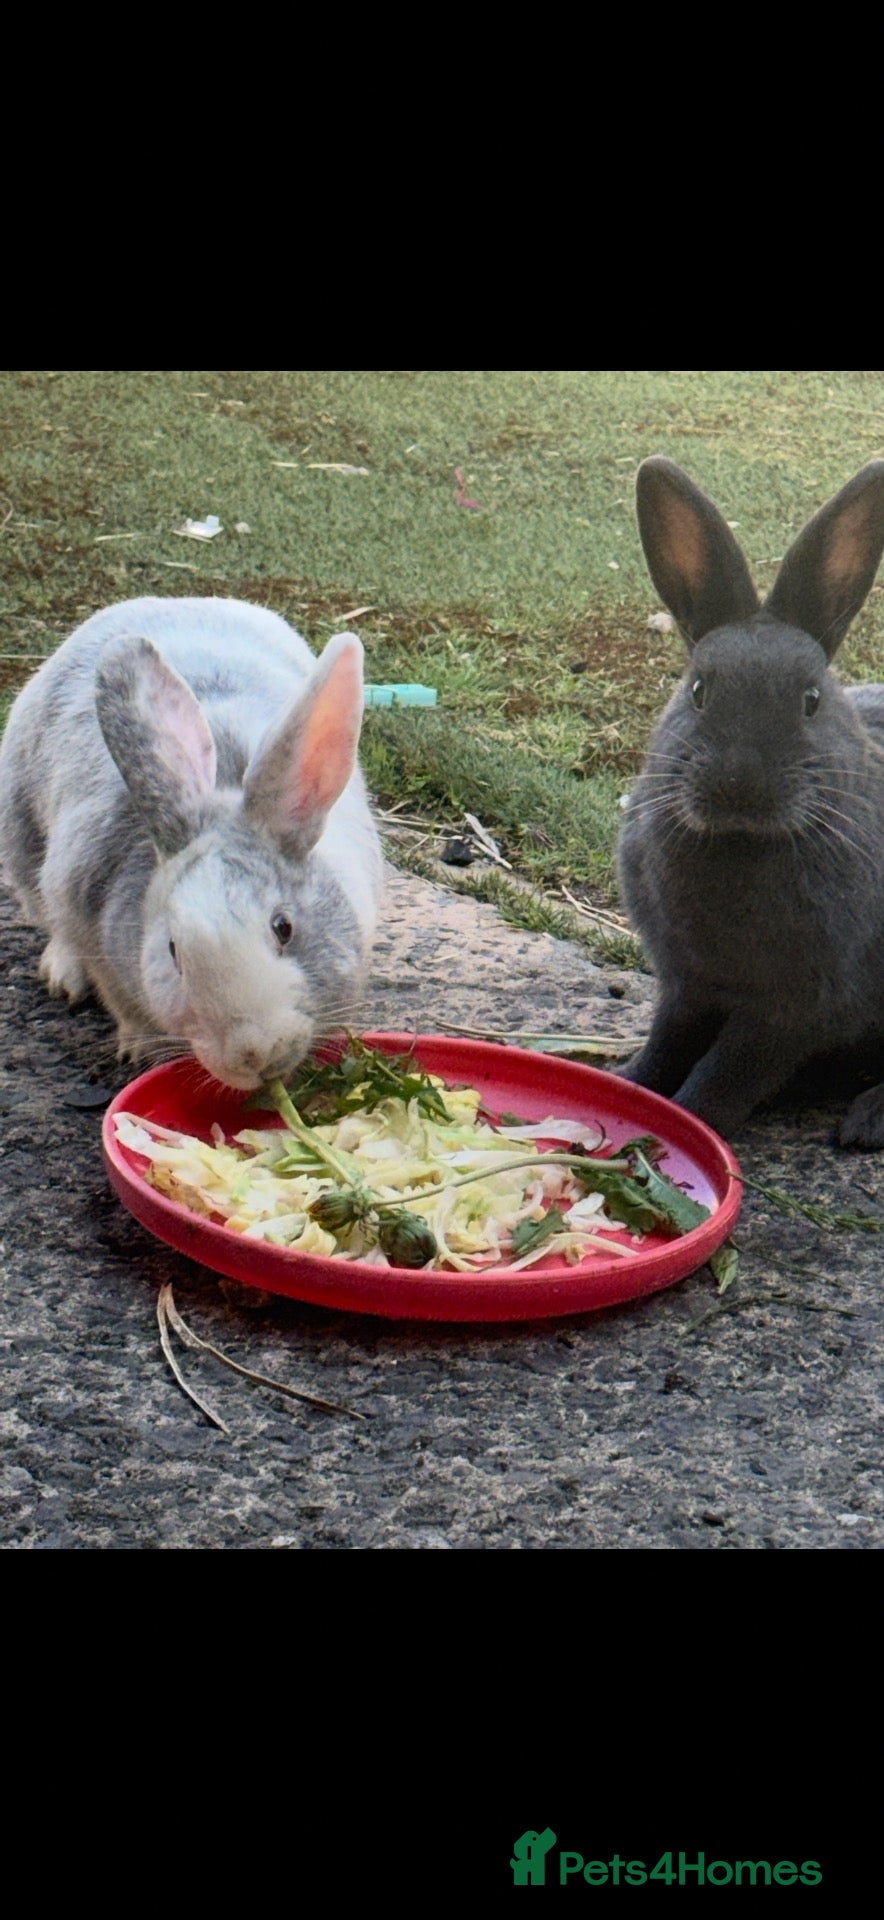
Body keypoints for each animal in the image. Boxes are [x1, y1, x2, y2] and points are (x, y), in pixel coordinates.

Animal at [0, 596, 384, 1091]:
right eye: (172, 951)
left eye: (284, 927)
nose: (253, 1054)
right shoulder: (93, 930)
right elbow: (121, 1000)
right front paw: (140, 1049)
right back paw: (63, 977)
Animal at [616, 455, 884, 1146]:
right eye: (699, 690)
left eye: (811, 700)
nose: (740, 784)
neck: (739, 844)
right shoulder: (686, 986)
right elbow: (666, 1045)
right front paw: (625, 1084)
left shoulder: (796, 1010)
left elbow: (728, 1071)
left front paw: (688, 1122)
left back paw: (867, 1122)